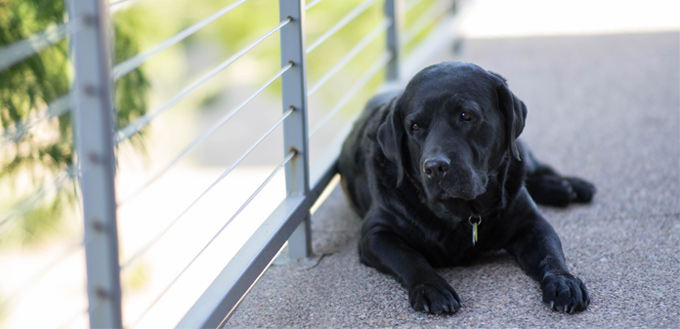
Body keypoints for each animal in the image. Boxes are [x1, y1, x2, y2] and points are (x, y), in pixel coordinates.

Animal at [340, 62, 596, 316]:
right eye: (414, 127)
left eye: (466, 116)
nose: (434, 167)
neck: (463, 214)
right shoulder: (376, 233)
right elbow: (409, 258)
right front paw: (431, 287)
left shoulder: (532, 223)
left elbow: (550, 254)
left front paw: (564, 282)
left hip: (521, 156)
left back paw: (571, 186)